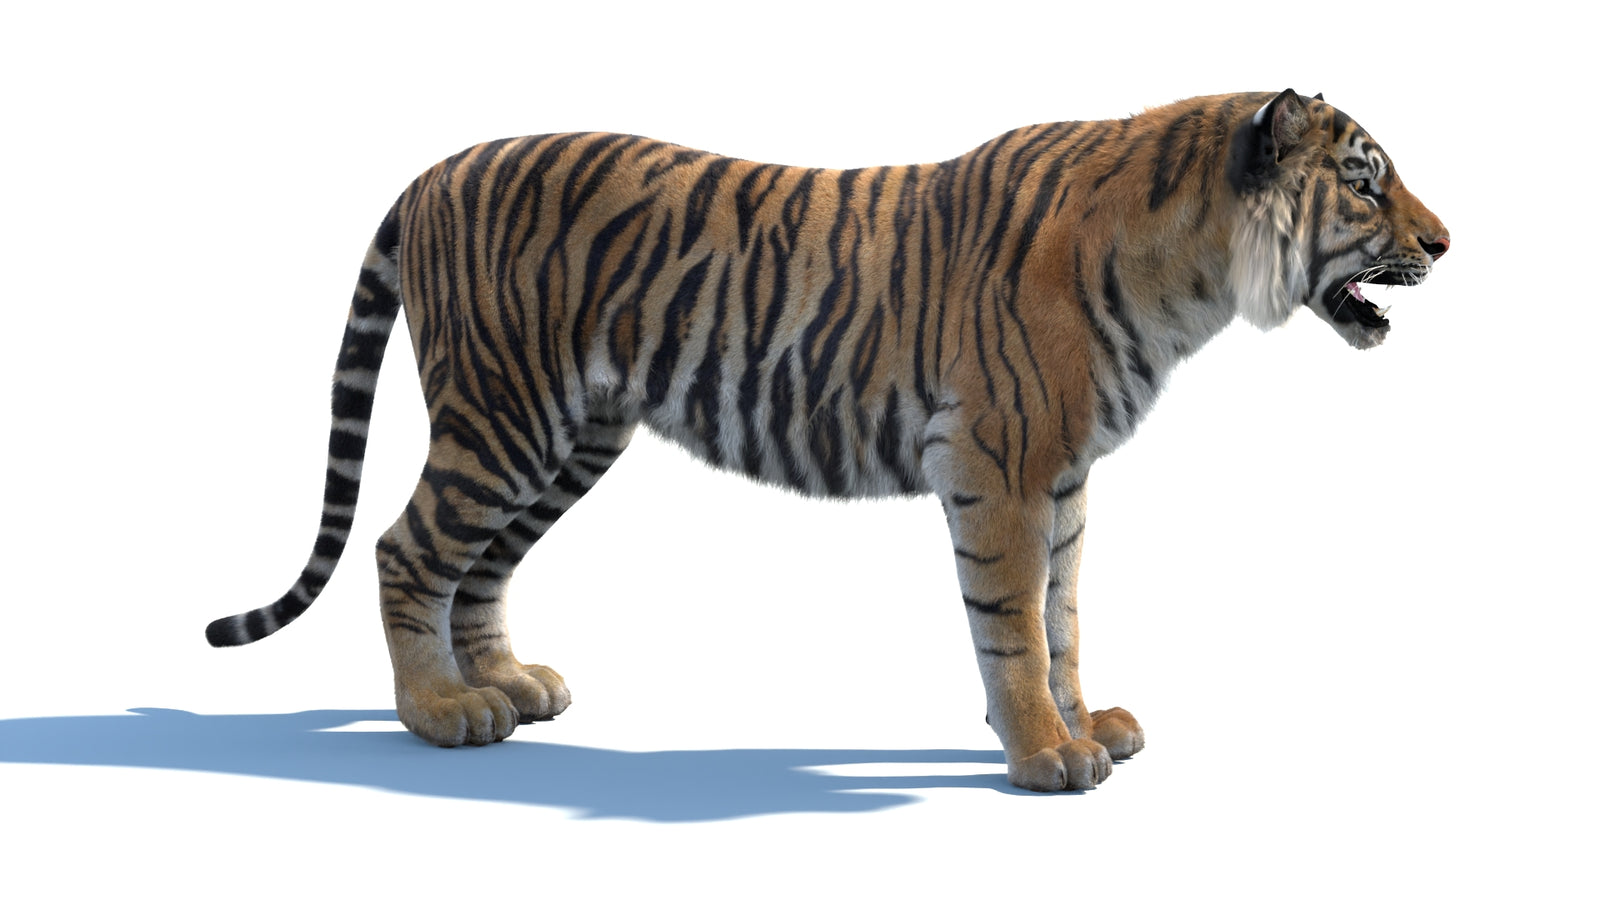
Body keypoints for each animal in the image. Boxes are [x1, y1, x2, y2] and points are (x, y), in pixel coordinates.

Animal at [207, 89, 1448, 792]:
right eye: (1364, 184)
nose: (1446, 240)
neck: (1188, 278)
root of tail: (433, 169)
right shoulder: (1001, 463)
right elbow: (1012, 623)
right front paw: (1045, 753)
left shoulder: (1067, 479)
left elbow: (1062, 617)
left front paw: (1085, 719)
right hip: (504, 413)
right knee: (407, 548)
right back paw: (441, 712)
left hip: (573, 437)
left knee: (483, 564)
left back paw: (508, 684)